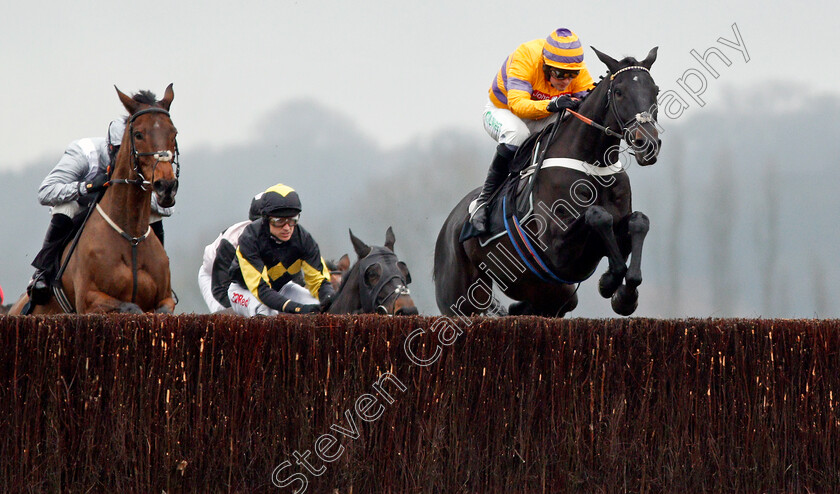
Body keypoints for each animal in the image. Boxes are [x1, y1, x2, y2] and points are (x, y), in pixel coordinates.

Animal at [9, 84, 180, 314]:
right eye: (138, 134)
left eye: (173, 133)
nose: (166, 186)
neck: (132, 237)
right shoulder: (89, 300)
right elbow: (131, 307)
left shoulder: (165, 299)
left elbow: (159, 310)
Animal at [434, 48, 664, 318]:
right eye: (619, 91)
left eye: (655, 90)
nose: (647, 144)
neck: (592, 164)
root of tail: (448, 224)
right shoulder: (557, 250)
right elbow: (598, 216)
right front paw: (610, 281)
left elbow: (639, 221)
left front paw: (625, 293)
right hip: (459, 298)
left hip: (551, 293)